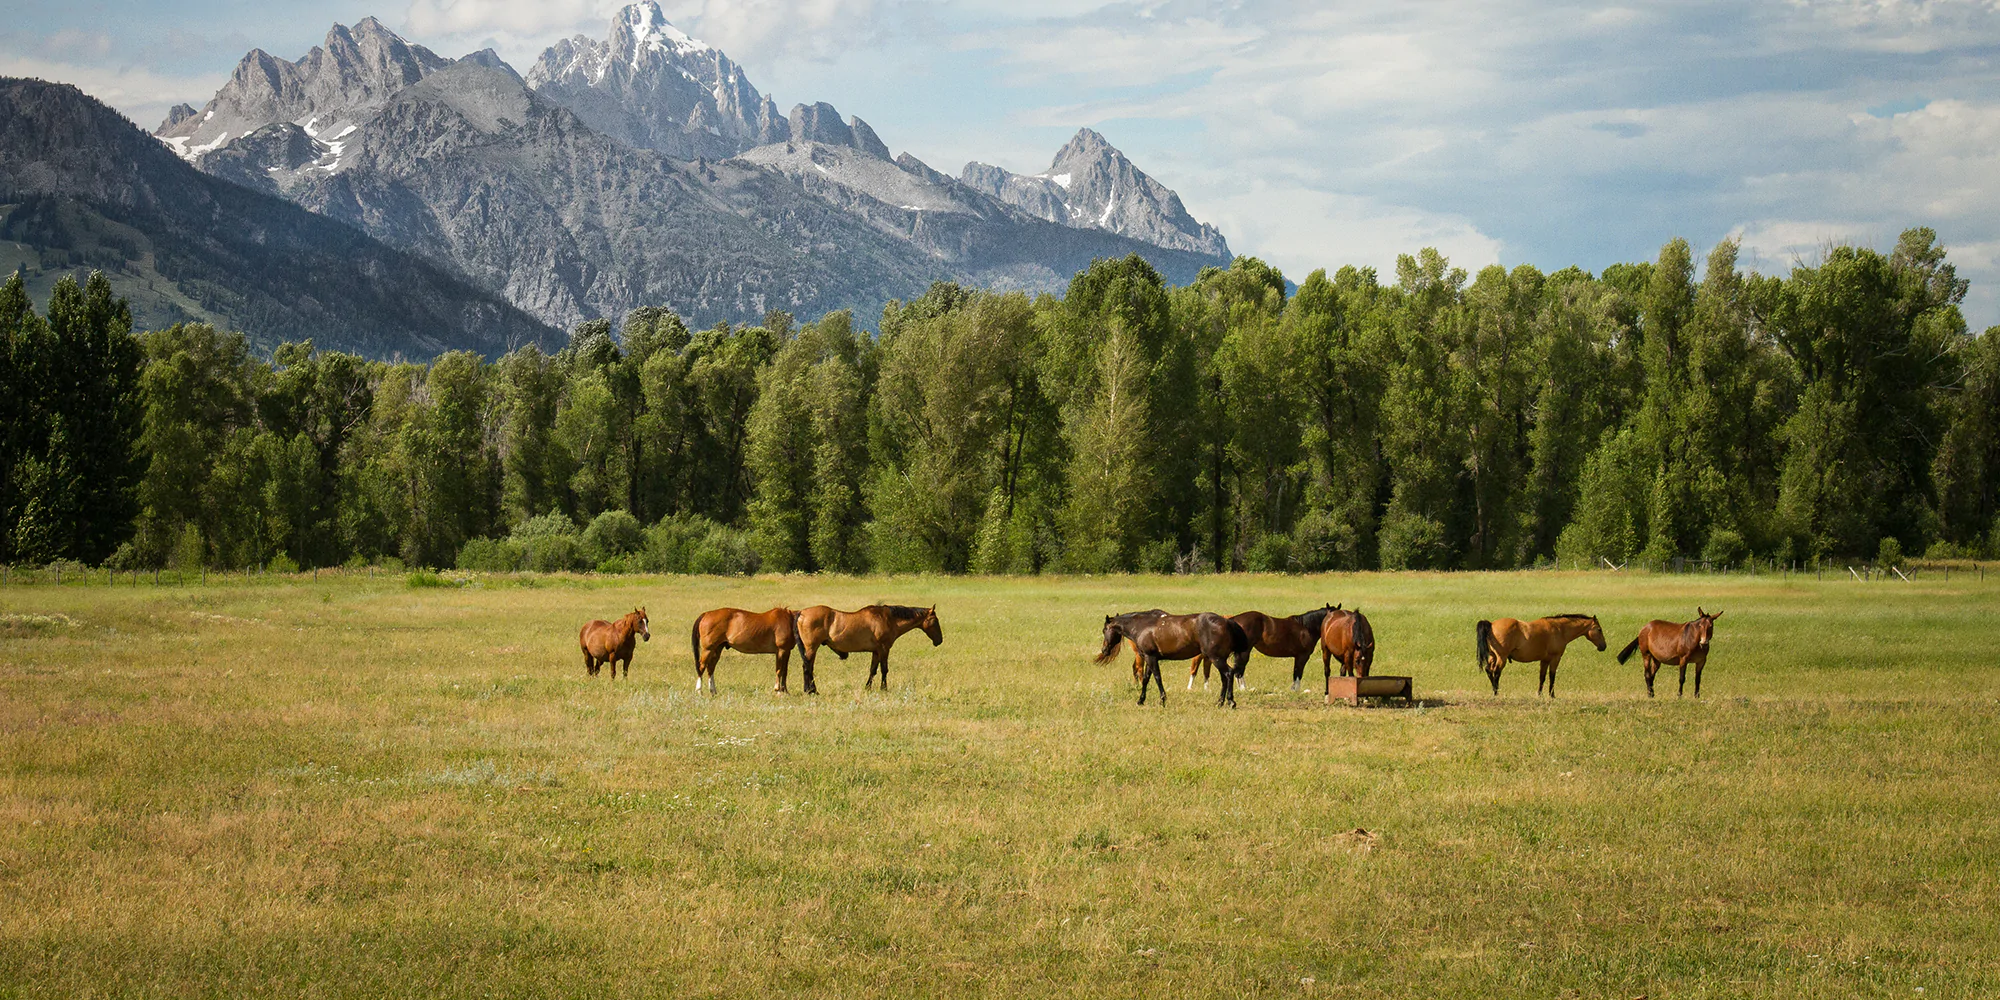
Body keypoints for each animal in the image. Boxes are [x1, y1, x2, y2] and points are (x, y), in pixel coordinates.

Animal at [796, 604, 943, 693]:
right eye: (935, 621)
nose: (940, 640)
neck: (888, 619)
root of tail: (801, 613)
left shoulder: (876, 652)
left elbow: (873, 670)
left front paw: (868, 687)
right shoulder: (884, 649)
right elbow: (884, 669)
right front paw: (884, 688)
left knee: (808, 667)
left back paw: (811, 690)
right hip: (811, 648)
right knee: (807, 667)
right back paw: (811, 690)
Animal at [1095, 611, 1251, 707]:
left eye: (1104, 630)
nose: (1104, 650)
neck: (1142, 626)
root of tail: (1227, 621)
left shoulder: (1151, 658)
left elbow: (1157, 678)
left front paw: (1162, 700)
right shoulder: (1149, 658)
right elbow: (1145, 679)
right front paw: (1141, 700)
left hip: (1216, 658)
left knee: (1229, 674)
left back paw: (1230, 702)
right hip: (1217, 659)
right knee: (1225, 678)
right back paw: (1220, 702)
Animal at [1187, 605, 1340, 691]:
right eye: (1333, 615)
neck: (1305, 627)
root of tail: (1232, 620)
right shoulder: (1302, 656)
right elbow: (1298, 673)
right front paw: (1296, 690)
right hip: (1244, 651)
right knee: (1239, 670)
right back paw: (1243, 689)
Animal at [1474, 613, 1606, 697]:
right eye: (1599, 629)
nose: (1604, 646)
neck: (1560, 629)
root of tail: (1491, 624)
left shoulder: (1545, 660)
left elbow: (1542, 677)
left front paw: (1540, 694)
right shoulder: (1555, 658)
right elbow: (1552, 676)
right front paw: (1552, 695)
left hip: (1493, 657)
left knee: (1489, 670)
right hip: (1501, 658)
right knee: (1496, 672)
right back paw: (1496, 692)